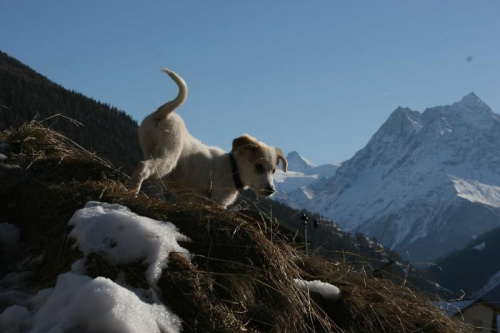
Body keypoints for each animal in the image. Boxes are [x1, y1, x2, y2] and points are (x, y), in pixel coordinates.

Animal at [131, 67, 288, 206]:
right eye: (259, 167)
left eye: (274, 170)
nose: (271, 190)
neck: (233, 168)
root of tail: (162, 114)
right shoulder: (218, 201)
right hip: (168, 156)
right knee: (143, 167)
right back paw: (133, 192)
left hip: (151, 153)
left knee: (152, 180)